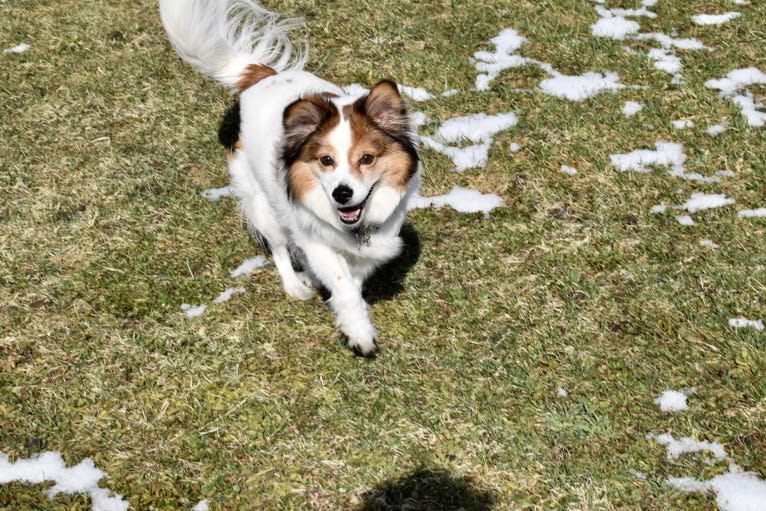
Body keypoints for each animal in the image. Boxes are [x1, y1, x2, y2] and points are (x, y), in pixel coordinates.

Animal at [158, 0, 420, 356]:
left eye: (367, 159)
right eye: (326, 160)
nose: (341, 193)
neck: (353, 228)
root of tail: (264, 77)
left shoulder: (380, 238)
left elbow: (353, 278)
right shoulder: (314, 237)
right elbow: (342, 283)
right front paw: (359, 333)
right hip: (263, 205)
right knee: (280, 249)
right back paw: (296, 285)